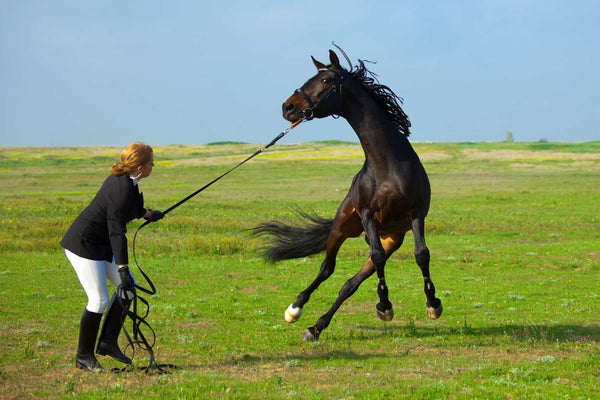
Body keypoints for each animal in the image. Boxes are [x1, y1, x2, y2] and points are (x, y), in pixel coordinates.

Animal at [253, 49, 440, 340]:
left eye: (326, 80)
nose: (288, 107)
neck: (387, 164)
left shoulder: (416, 213)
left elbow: (421, 254)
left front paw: (432, 304)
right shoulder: (367, 215)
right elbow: (375, 257)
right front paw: (385, 306)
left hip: (390, 239)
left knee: (350, 283)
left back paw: (316, 327)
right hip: (342, 227)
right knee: (326, 268)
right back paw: (295, 310)